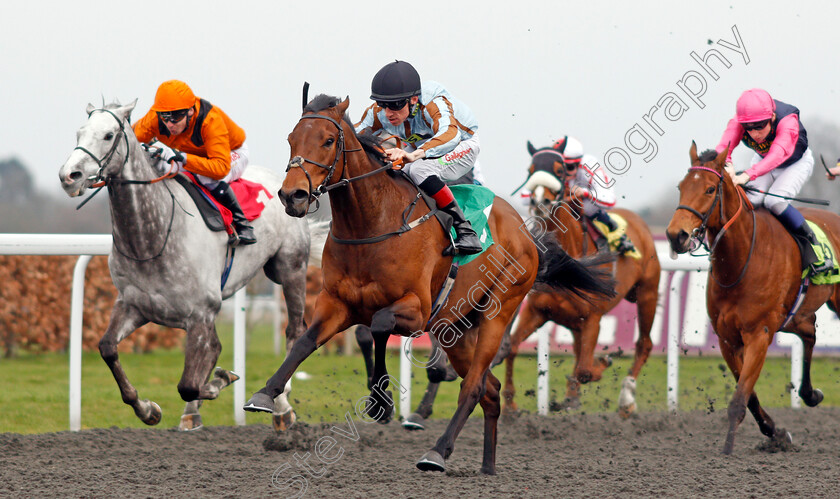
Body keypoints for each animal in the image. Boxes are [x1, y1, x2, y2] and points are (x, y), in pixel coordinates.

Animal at [59, 100, 324, 430]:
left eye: (108, 135)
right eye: (79, 133)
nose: (69, 176)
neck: (151, 240)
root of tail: (290, 184)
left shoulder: (200, 313)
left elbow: (189, 383)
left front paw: (221, 380)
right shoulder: (134, 305)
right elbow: (108, 348)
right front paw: (148, 409)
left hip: (290, 269)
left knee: (294, 330)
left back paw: (282, 406)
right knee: (217, 347)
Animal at [243, 95, 616, 474]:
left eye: (328, 140)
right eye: (291, 139)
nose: (292, 195)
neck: (372, 224)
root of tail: (525, 230)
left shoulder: (417, 309)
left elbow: (379, 325)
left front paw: (381, 402)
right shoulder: (337, 304)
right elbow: (306, 341)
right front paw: (265, 393)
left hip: (498, 312)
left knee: (474, 386)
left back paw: (437, 452)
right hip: (456, 328)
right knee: (490, 390)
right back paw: (487, 466)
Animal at [506, 143, 664, 416]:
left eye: (559, 169)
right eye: (530, 169)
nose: (539, 200)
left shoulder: (593, 319)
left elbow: (585, 370)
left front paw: (604, 360)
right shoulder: (537, 311)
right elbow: (511, 347)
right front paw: (510, 404)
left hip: (647, 294)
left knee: (644, 344)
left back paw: (626, 399)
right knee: (579, 350)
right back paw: (572, 398)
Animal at [668, 143, 836, 456]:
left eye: (710, 189)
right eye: (680, 187)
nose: (675, 236)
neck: (741, 260)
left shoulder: (759, 333)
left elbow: (739, 399)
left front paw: (727, 449)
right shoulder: (727, 338)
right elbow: (749, 395)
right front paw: (776, 433)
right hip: (794, 315)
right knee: (809, 332)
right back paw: (810, 394)